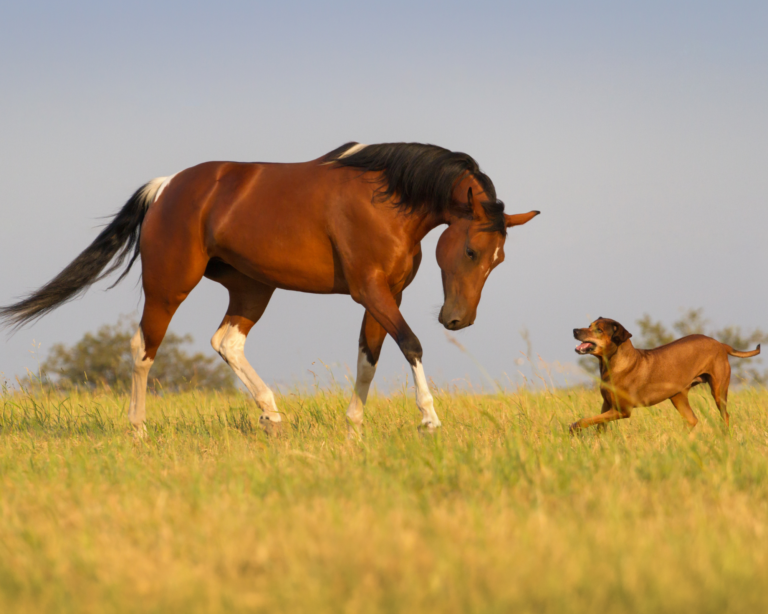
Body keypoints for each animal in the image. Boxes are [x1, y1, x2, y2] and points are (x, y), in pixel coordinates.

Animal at [1, 142, 540, 436]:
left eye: (499, 259)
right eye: (470, 251)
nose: (458, 319)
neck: (387, 201)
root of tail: (168, 186)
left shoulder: (387, 294)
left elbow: (369, 357)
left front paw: (353, 429)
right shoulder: (371, 290)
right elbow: (411, 344)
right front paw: (429, 419)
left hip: (252, 288)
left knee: (226, 342)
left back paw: (272, 414)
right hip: (169, 286)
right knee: (143, 348)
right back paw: (138, 429)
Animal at [572, 318, 760, 434]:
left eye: (598, 330)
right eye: (589, 325)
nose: (574, 330)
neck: (613, 364)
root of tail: (720, 344)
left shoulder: (622, 410)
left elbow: (585, 420)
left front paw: (574, 428)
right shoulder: (607, 404)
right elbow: (598, 424)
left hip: (719, 390)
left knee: (724, 415)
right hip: (677, 396)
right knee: (692, 420)